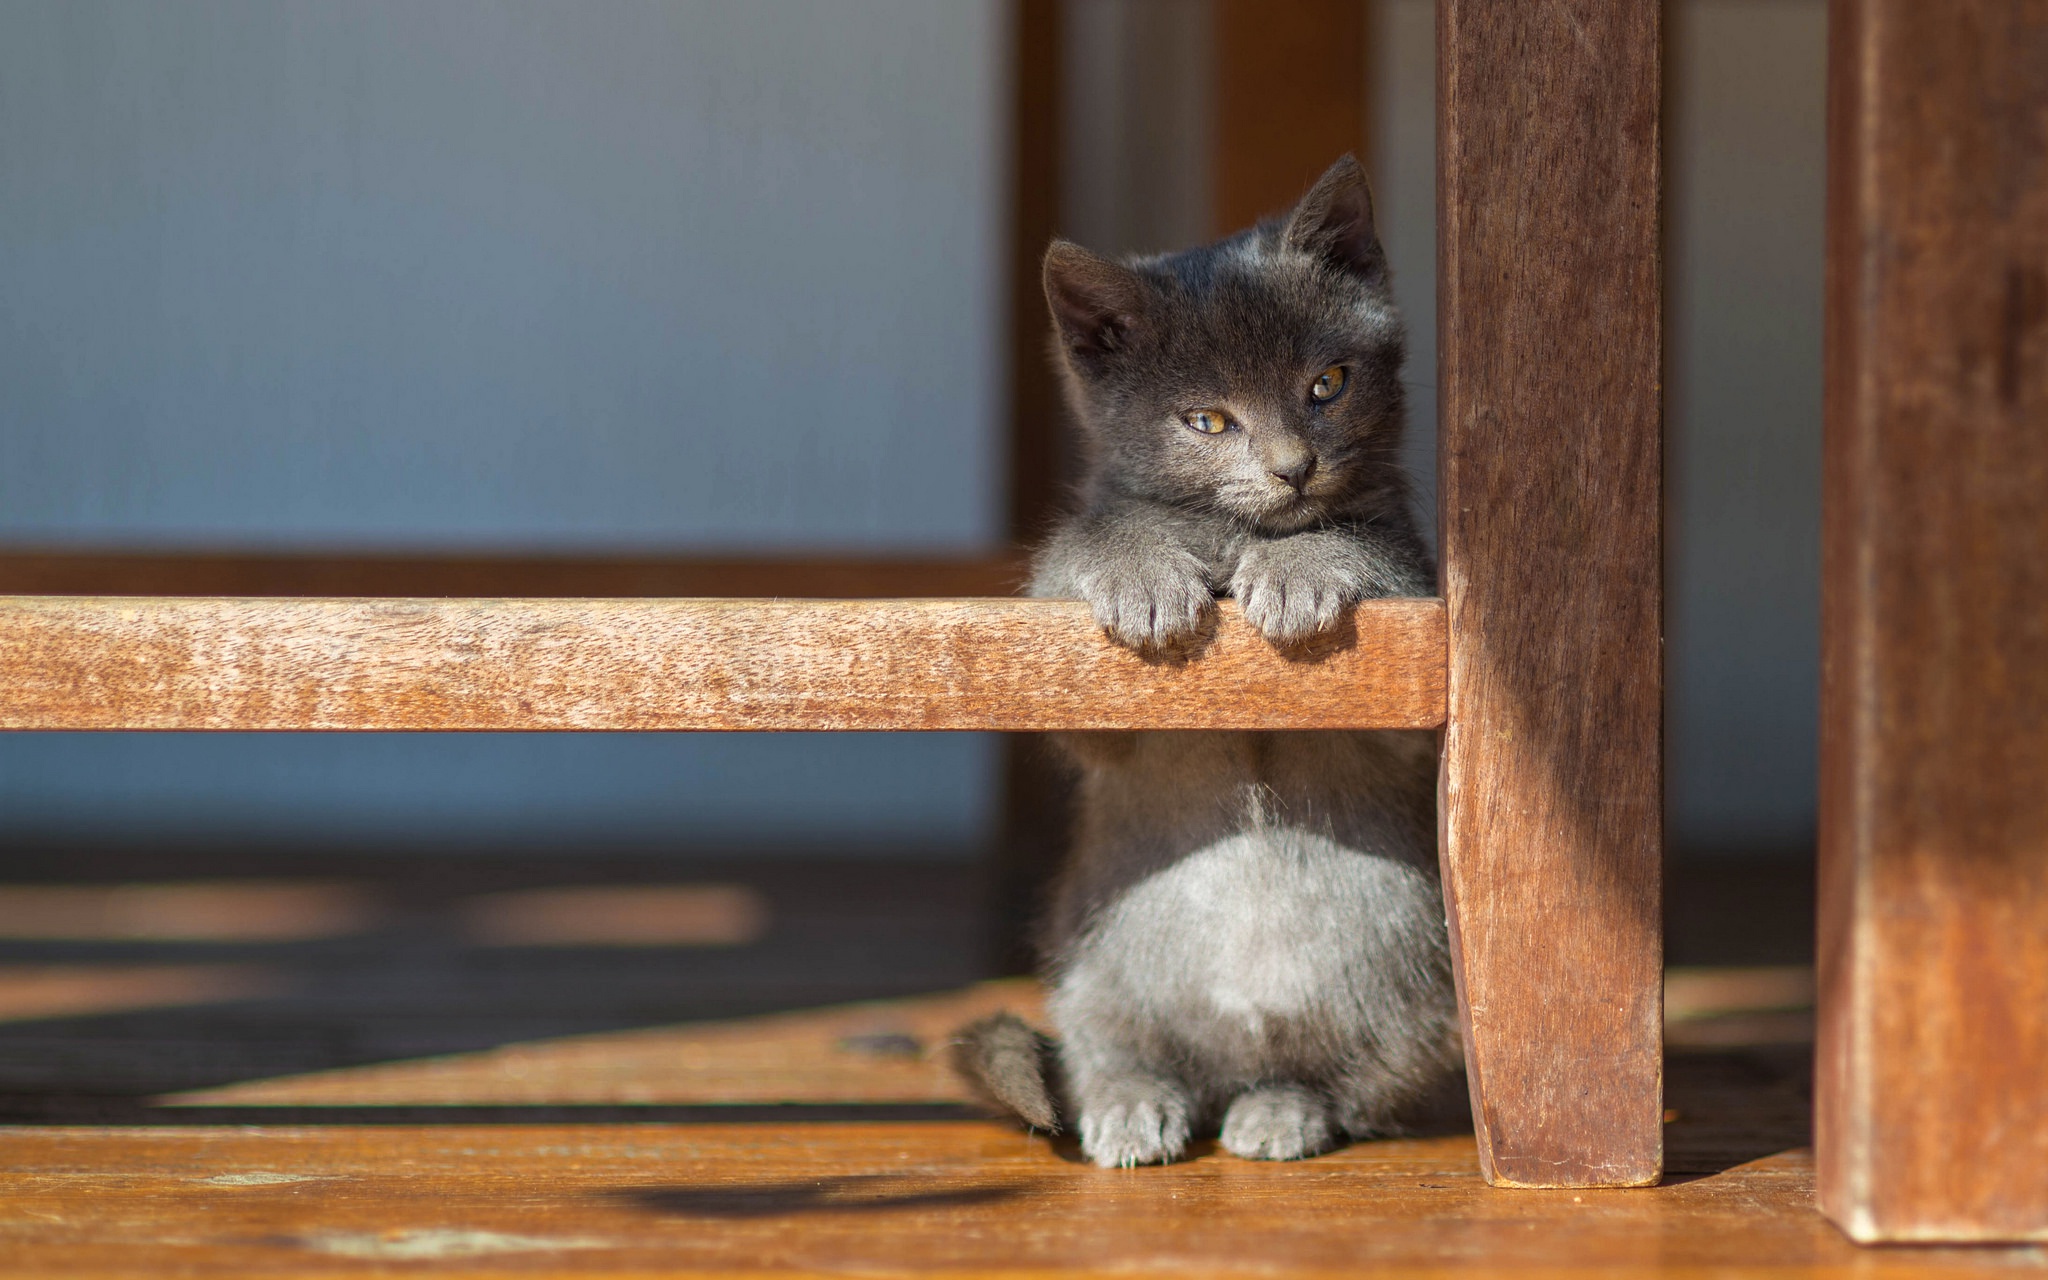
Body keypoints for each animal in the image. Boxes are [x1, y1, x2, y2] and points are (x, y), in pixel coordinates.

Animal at [954, 154, 1458, 1163]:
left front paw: (1301, 569)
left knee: (1346, 1083)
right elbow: (1095, 544)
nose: (1293, 466)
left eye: (1328, 383)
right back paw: (1131, 1104)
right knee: (1112, 1055)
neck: (1230, 541)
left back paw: (1282, 1110)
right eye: (1207, 420)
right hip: (1091, 971)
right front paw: (1140, 574)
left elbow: (1363, 543)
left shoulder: (1410, 681)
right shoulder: (1072, 700)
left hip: (1410, 1003)